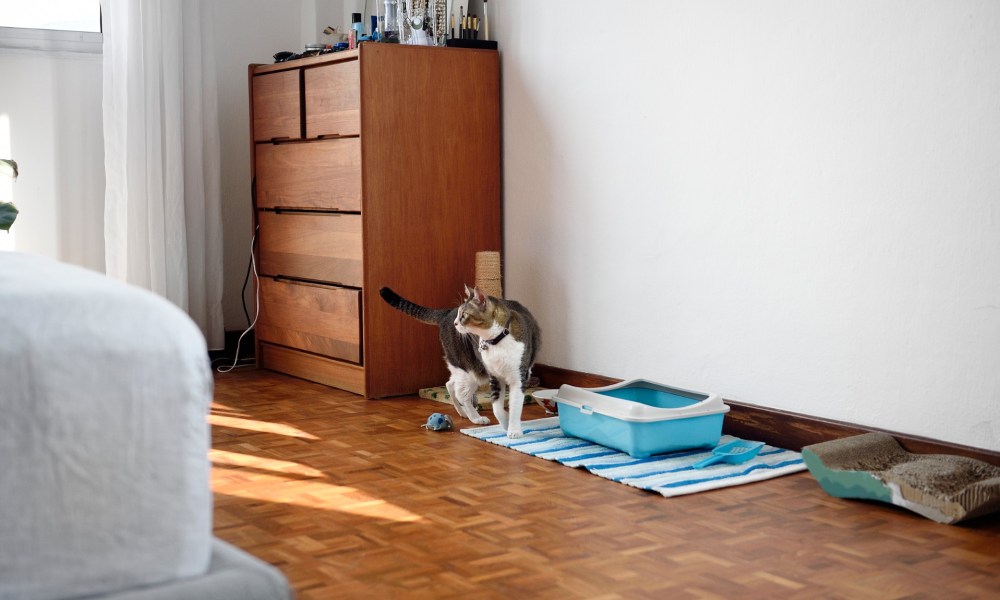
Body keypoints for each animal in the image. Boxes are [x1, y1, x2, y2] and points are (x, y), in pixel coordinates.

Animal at [378, 288, 492, 424]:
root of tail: (448, 313)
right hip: (470, 368)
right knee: (461, 393)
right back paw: (476, 418)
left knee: (450, 385)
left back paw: (462, 412)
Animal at [458, 284, 544, 438]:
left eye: (464, 315)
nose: (455, 323)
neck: (497, 340)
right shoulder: (495, 377)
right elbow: (496, 408)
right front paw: (505, 422)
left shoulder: (518, 377)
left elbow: (515, 405)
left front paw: (514, 430)